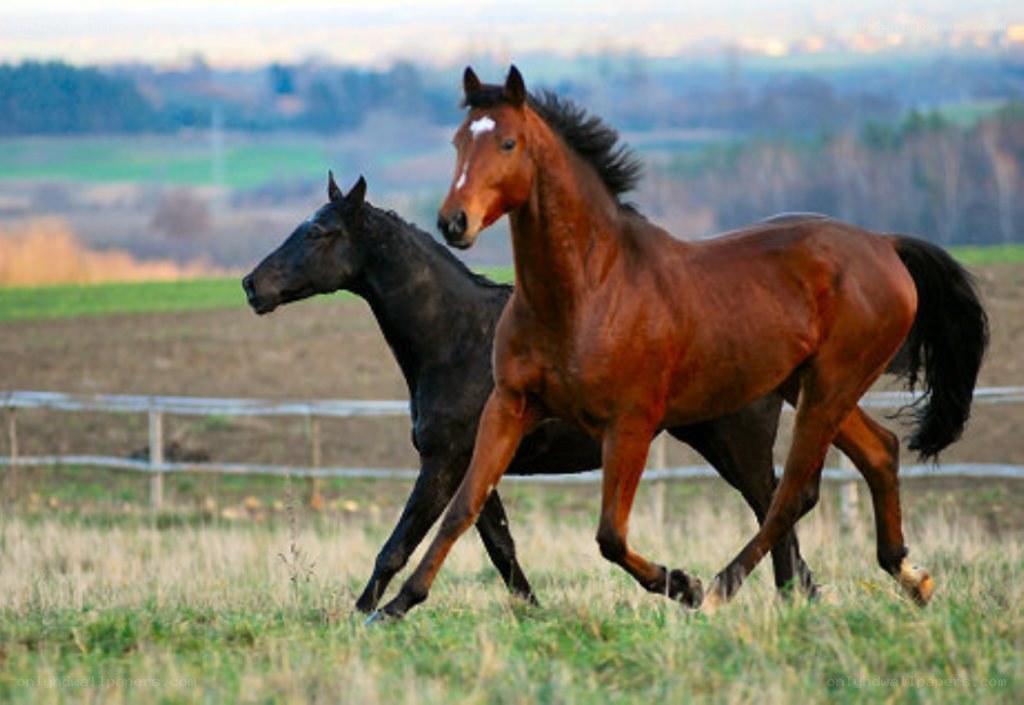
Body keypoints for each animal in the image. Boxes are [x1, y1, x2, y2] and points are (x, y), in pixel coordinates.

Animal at [242, 172, 822, 613]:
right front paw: (534, 613)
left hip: (735, 443)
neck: (458, 338)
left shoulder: (442, 461)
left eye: (320, 231)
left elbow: (397, 545)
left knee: (778, 506)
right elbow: (500, 548)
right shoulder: (475, 462)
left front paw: (360, 615)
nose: (252, 286)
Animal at [369, 66, 988, 621]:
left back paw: (718, 590)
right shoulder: (509, 406)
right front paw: (395, 607)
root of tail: (883, 245)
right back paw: (911, 578)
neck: (588, 291)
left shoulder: (631, 424)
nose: (454, 222)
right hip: (811, 386)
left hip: (828, 387)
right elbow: (463, 510)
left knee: (789, 494)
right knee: (878, 452)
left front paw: (682, 585)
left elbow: (610, 536)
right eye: (457, 141)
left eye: (507, 141)